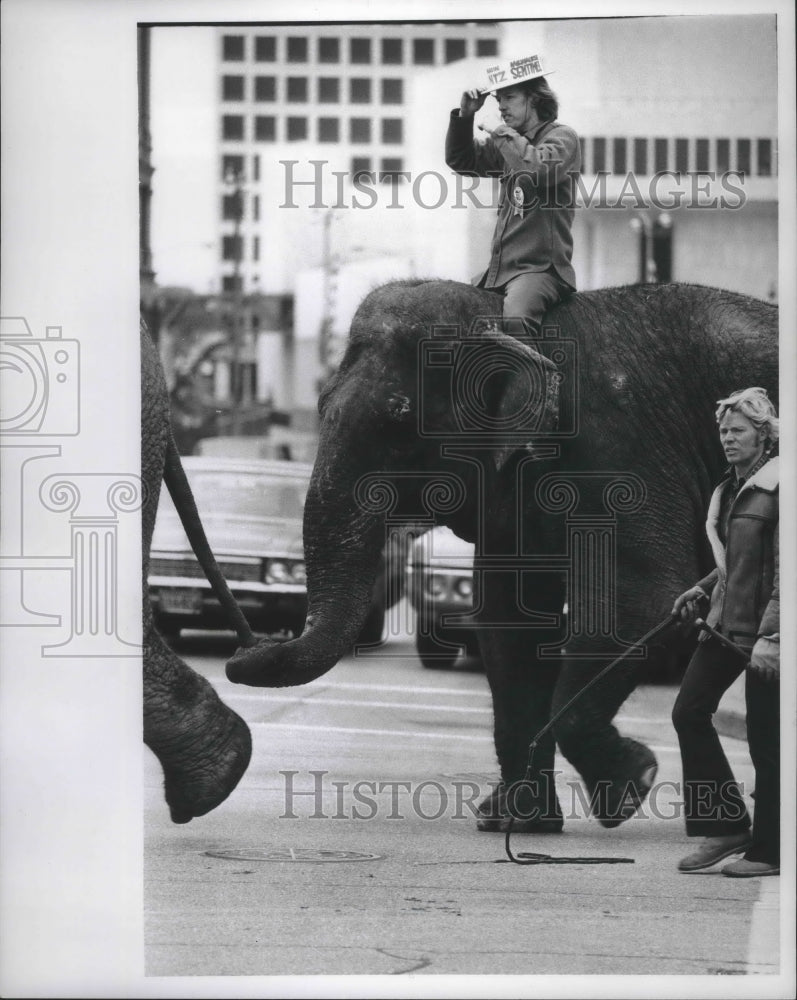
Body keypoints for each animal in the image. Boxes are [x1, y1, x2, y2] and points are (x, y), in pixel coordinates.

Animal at [225, 279, 778, 831]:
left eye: (398, 422)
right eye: (320, 407)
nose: (243, 650)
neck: (507, 320)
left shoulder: (621, 458)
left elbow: (639, 603)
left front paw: (631, 786)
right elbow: (507, 621)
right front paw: (516, 821)